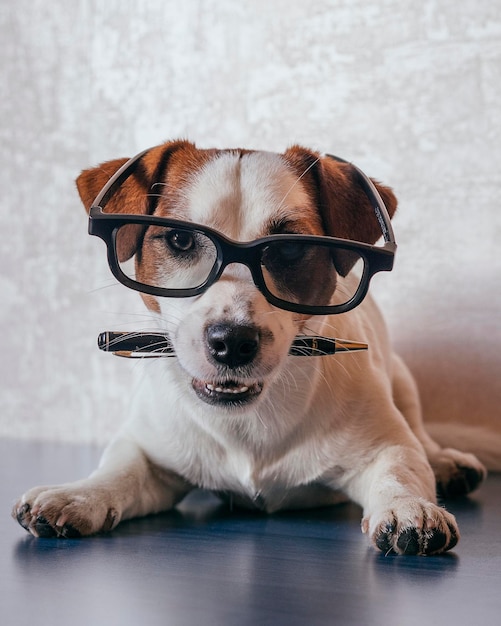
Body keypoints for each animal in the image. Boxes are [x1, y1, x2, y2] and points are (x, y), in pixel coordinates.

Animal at [11, 140, 486, 552]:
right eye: (180, 239)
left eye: (291, 249)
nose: (232, 341)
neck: (247, 419)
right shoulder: (149, 452)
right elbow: (120, 469)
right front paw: (78, 495)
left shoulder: (385, 446)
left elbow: (400, 468)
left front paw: (410, 506)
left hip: (403, 382)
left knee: (420, 435)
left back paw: (446, 461)